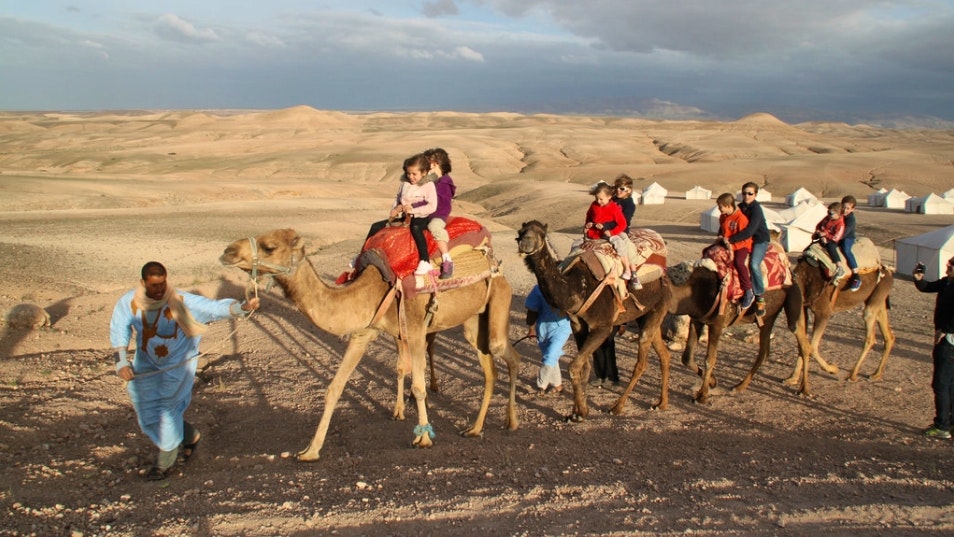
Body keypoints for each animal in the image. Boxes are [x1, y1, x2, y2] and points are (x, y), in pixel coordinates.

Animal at [220, 229, 521, 461]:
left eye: (269, 247)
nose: (227, 252)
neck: (373, 287)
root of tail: (496, 265)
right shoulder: (364, 332)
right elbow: (335, 388)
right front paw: (310, 450)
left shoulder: (414, 328)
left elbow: (418, 386)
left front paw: (423, 438)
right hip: (473, 321)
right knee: (490, 370)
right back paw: (474, 428)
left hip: (499, 301)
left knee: (509, 355)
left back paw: (512, 421)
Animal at [515, 220, 673, 421]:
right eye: (521, 232)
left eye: (542, 233)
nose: (525, 242)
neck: (579, 288)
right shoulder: (578, 325)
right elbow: (584, 366)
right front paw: (576, 411)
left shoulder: (602, 327)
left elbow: (574, 367)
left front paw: (581, 412)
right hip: (648, 314)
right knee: (664, 354)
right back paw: (661, 403)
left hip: (659, 305)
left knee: (642, 362)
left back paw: (617, 407)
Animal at [667, 258, 813, 404]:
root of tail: (792, 275)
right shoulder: (696, 320)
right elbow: (687, 357)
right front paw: (713, 382)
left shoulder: (717, 324)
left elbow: (710, 359)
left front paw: (702, 396)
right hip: (768, 318)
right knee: (764, 351)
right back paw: (739, 386)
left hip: (793, 304)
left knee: (804, 344)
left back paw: (804, 389)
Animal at [783, 260, 895, 390]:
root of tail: (888, 272)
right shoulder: (802, 310)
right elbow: (803, 346)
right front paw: (792, 379)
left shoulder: (823, 312)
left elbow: (813, 346)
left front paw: (833, 369)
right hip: (877, 300)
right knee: (889, 336)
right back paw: (876, 374)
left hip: (876, 299)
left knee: (870, 336)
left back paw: (852, 375)